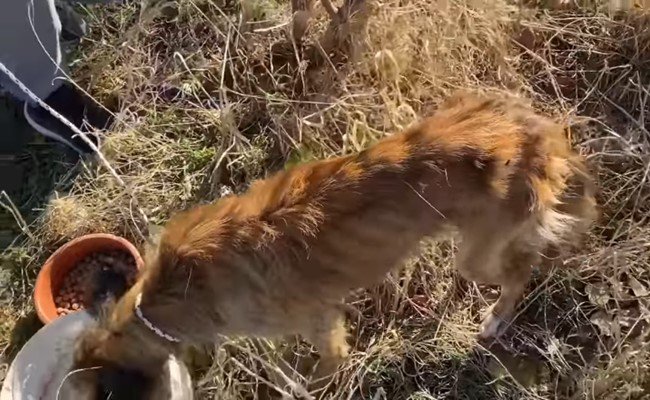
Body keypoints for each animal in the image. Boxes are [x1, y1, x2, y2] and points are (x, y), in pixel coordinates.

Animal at [69, 93, 592, 396]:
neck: (172, 291)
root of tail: (533, 130)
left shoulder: (322, 326)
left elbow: (322, 370)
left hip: (477, 255)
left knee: (521, 270)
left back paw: (497, 318)